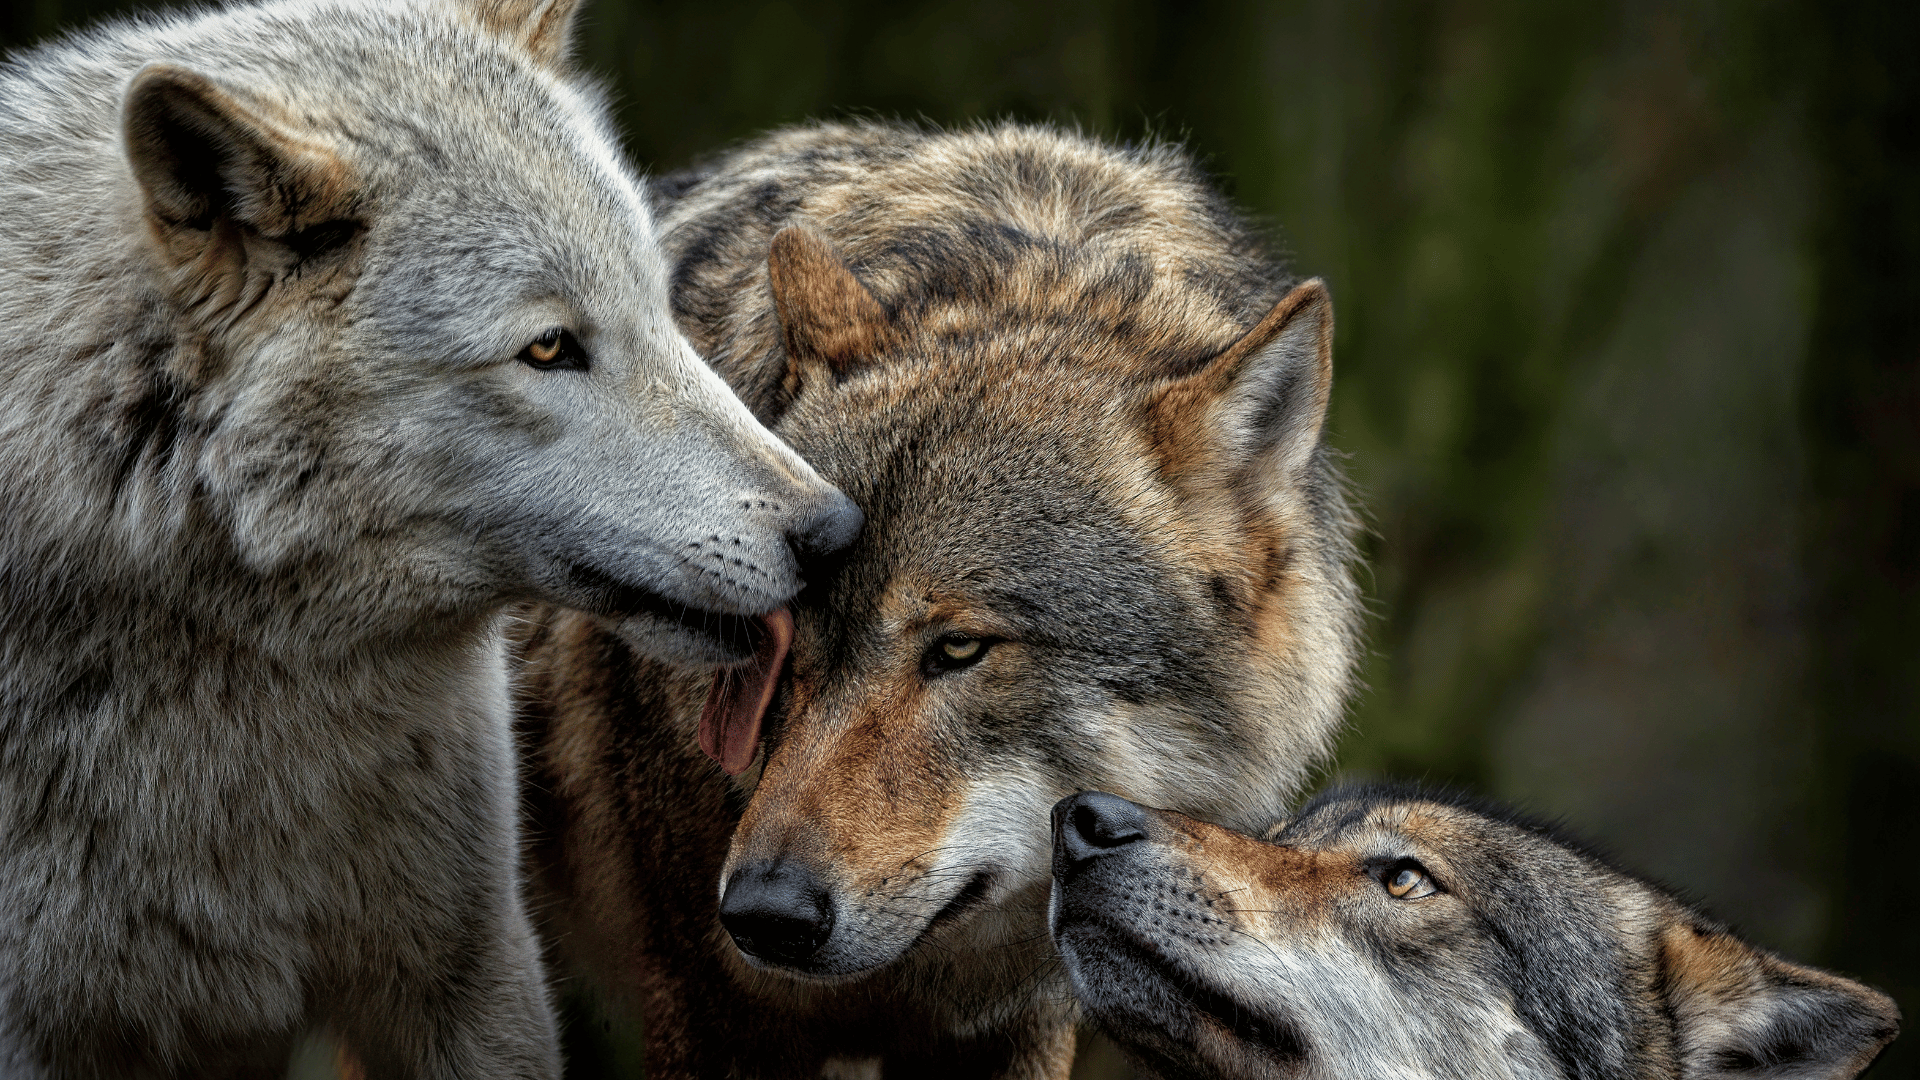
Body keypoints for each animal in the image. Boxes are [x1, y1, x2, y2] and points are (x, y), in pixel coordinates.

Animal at [514, 122, 1367, 1068]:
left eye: (959, 649)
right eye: (776, 641)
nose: (764, 913)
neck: (1034, 275)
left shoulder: (1020, 1026)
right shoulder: (708, 1008)